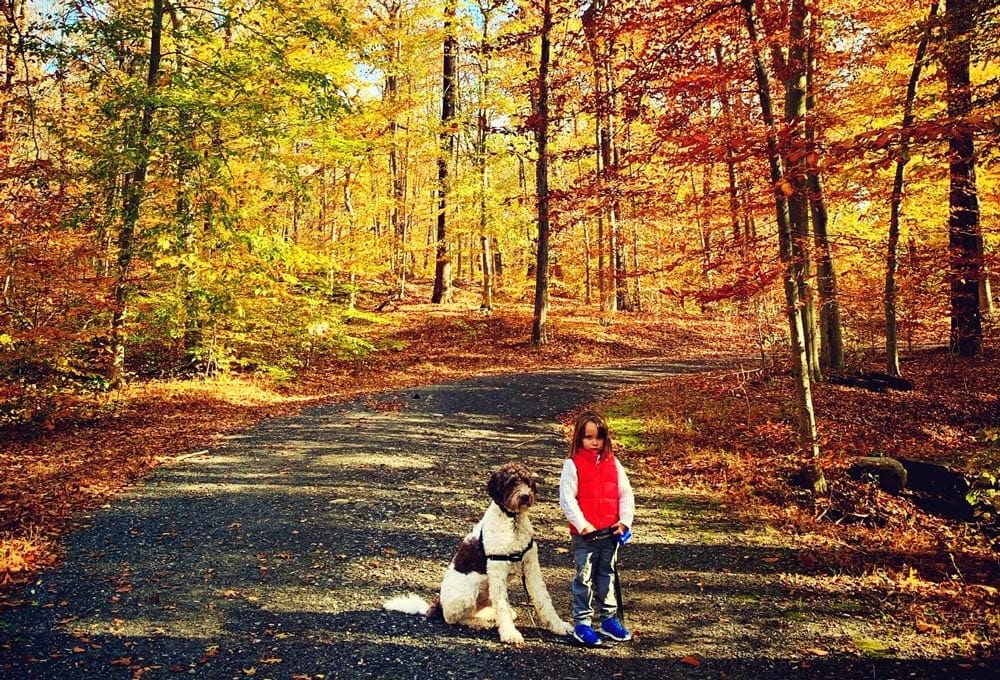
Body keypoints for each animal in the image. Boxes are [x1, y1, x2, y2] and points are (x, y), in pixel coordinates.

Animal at [382, 460, 572, 644]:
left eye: (527, 481)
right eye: (511, 482)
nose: (525, 496)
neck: (513, 521)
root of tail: (438, 606)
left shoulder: (531, 567)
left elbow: (544, 599)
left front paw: (559, 626)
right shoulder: (497, 571)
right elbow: (502, 604)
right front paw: (510, 634)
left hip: (486, 591)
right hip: (468, 592)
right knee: (453, 619)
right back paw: (479, 623)